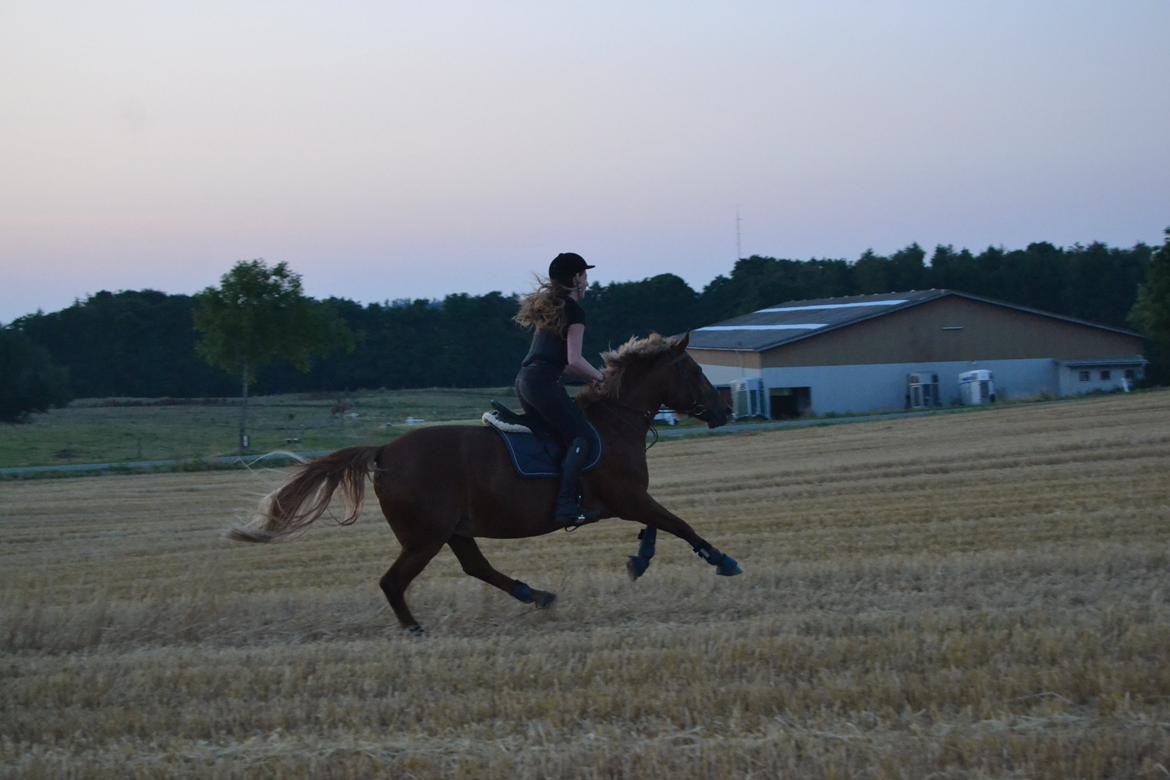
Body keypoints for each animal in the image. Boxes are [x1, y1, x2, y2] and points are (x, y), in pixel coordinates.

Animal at [226, 332, 739, 636]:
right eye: (696, 370)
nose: (725, 410)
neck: (615, 420)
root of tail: (385, 451)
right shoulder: (628, 496)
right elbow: (678, 523)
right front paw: (722, 560)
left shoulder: (628, 500)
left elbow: (658, 526)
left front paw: (640, 559)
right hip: (426, 536)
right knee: (394, 581)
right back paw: (416, 629)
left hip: (453, 529)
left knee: (476, 566)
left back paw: (535, 595)